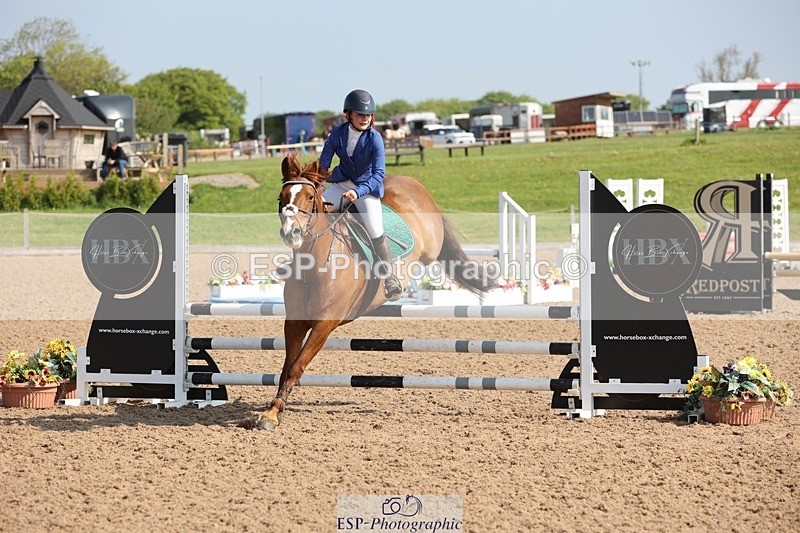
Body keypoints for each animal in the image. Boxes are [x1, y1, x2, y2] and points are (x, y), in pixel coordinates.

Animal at [253, 154, 496, 429]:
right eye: (282, 197)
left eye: (309, 197)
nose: (291, 233)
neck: (315, 266)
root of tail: (410, 181)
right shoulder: (294, 323)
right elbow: (287, 367)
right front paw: (273, 410)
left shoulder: (324, 324)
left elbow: (297, 366)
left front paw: (272, 414)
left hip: (431, 245)